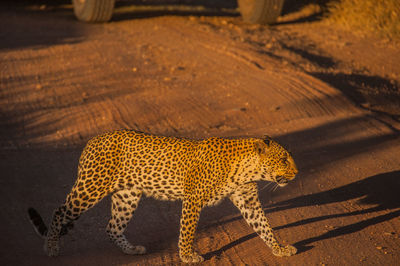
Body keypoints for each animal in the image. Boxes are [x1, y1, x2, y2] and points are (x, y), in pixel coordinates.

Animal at [28, 130, 296, 262]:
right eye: (284, 159)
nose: (296, 172)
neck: (248, 169)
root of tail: (92, 141)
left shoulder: (248, 201)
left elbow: (264, 226)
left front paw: (279, 248)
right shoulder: (193, 198)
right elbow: (187, 230)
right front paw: (187, 256)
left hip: (127, 195)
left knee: (112, 226)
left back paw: (131, 250)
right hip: (91, 187)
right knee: (60, 211)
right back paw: (51, 247)